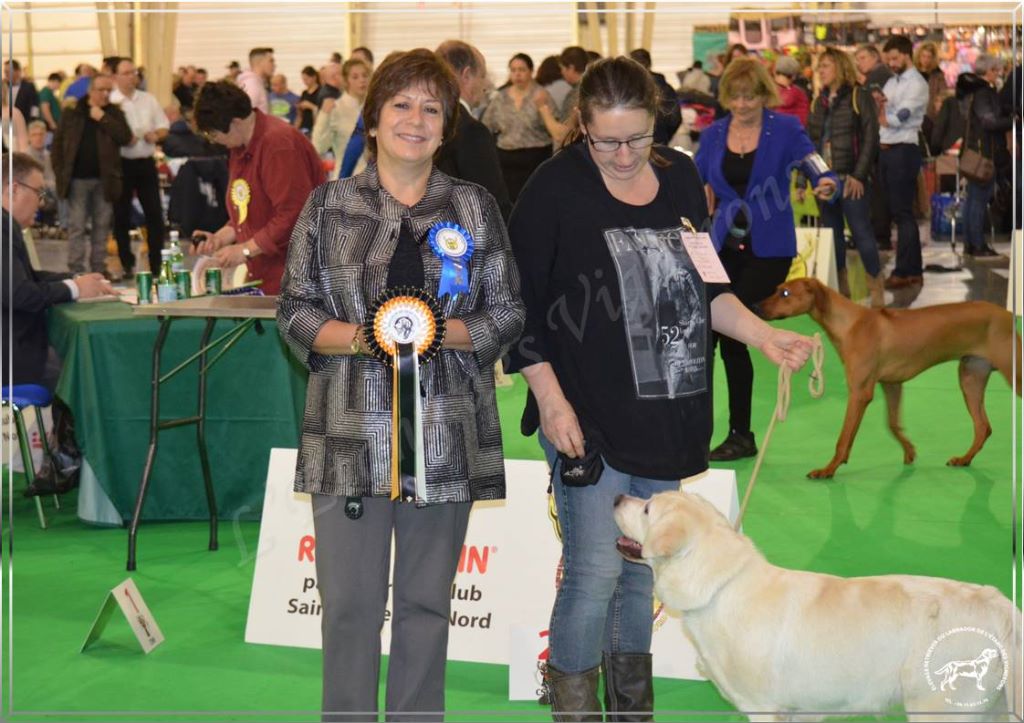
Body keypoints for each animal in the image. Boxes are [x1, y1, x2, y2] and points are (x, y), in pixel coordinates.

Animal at [757, 278, 1019, 475]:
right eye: (776, 289)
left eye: (785, 293)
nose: (756, 306)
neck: (850, 323)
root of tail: (1008, 314)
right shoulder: (891, 384)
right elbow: (892, 424)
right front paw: (909, 451)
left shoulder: (859, 392)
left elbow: (843, 438)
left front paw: (828, 469)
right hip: (970, 377)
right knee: (983, 426)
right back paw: (964, 459)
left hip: (1013, 374)